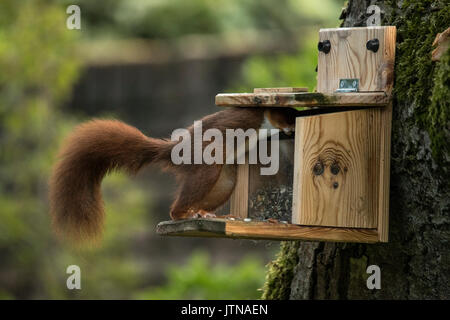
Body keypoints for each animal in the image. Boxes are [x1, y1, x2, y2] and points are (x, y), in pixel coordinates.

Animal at [49, 107, 298, 242]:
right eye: (288, 114)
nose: (293, 127)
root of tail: (174, 150)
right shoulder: (260, 116)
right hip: (207, 164)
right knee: (177, 207)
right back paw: (183, 214)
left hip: (225, 181)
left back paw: (206, 214)